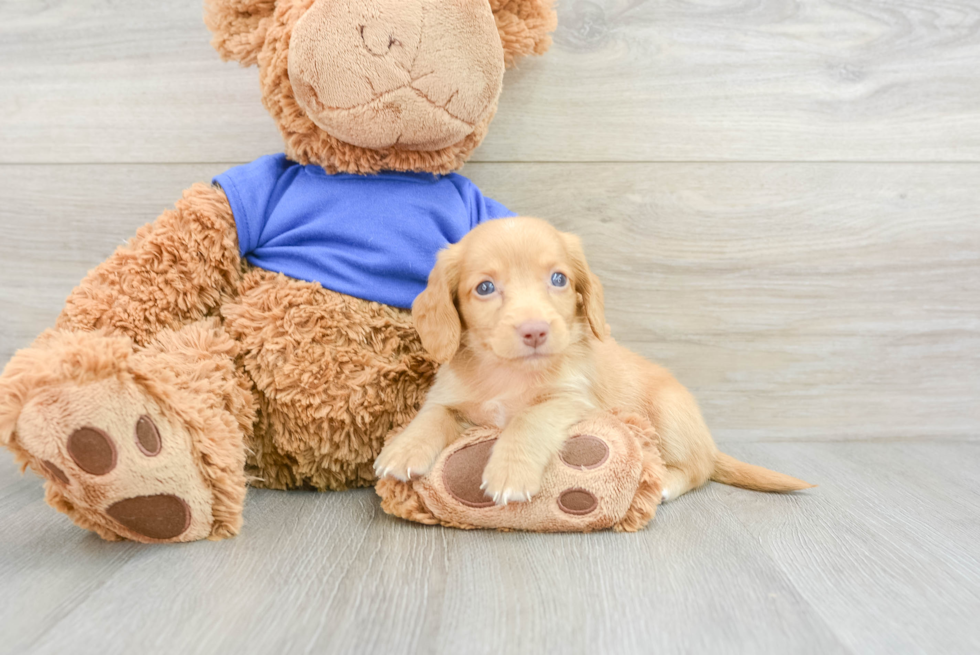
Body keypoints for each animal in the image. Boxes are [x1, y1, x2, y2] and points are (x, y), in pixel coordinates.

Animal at [376, 218, 812, 504]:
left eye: (558, 279)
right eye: (484, 288)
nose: (535, 331)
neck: (511, 372)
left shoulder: (570, 401)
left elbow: (528, 420)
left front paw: (510, 470)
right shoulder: (452, 399)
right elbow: (433, 415)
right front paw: (402, 449)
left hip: (669, 411)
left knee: (699, 469)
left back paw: (664, 483)